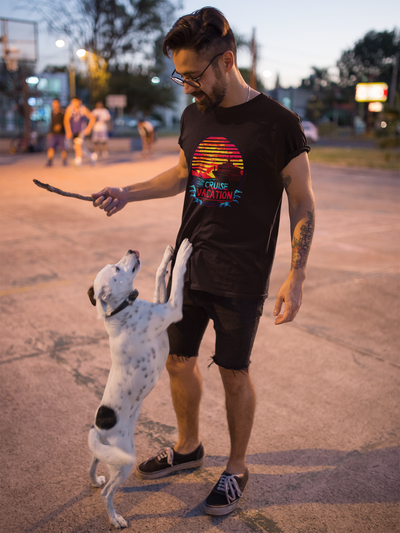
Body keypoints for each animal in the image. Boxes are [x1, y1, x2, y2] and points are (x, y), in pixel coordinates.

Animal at [87, 240, 192, 528]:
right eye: (116, 268)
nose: (132, 250)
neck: (120, 310)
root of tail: (99, 428)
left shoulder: (161, 302)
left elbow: (158, 276)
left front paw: (169, 254)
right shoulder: (173, 308)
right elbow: (177, 277)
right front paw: (183, 253)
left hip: (108, 453)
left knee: (93, 464)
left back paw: (95, 479)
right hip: (124, 462)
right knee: (106, 493)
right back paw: (115, 519)